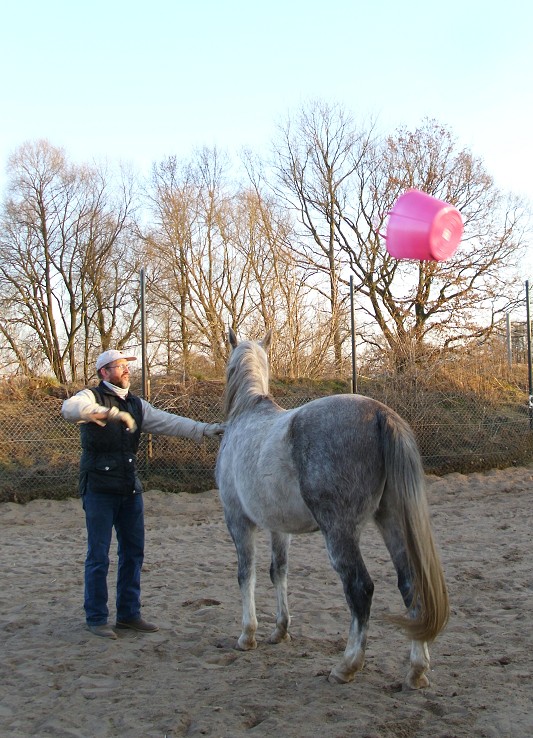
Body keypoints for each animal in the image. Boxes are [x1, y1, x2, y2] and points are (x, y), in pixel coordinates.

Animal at [214, 328, 446, 684]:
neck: (248, 414)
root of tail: (380, 414)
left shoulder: (238, 521)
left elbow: (246, 574)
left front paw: (247, 635)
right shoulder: (279, 527)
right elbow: (278, 572)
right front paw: (280, 630)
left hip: (339, 531)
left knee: (360, 588)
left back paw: (347, 665)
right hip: (391, 521)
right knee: (410, 584)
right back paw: (417, 669)